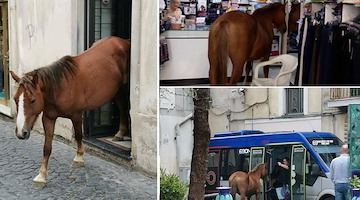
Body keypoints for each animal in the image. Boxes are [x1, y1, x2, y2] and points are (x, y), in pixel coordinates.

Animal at [9, 36, 131, 189]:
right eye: (15, 99)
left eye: (32, 100)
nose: (21, 133)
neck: (60, 88)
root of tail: (123, 41)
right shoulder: (48, 118)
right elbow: (47, 147)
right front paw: (41, 176)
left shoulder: (76, 115)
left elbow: (78, 136)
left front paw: (79, 158)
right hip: (117, 90)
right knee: (121, 106)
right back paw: (120, 133)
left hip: (124, 87)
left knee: (124, 107)